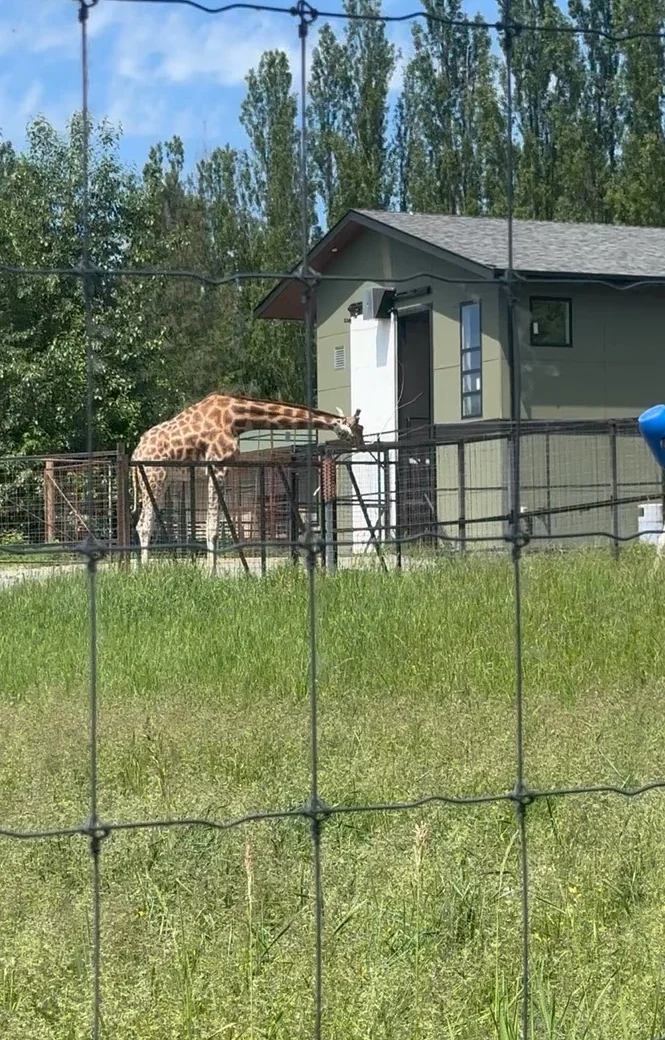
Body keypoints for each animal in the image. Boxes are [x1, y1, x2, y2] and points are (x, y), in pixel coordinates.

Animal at [130, 391, 365, 572]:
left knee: (145, 522)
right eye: (358, 429)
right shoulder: (217, 466)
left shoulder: (223, 470)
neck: (236, 417)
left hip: (162, 480)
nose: (362, 444)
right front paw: (211, 574)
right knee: (143, 524)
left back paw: (141, 569)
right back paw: (144, 570)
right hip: (155, 476)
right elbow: (213, 527)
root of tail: (135, 453)